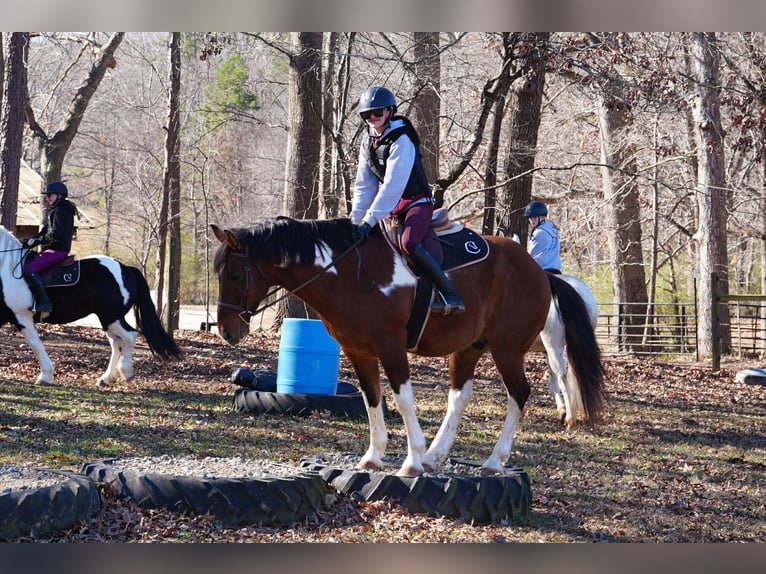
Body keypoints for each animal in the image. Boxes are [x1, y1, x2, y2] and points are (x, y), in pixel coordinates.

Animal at [0, 225, 181, 386]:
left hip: (112, 316)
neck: (6, 268)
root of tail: (127, 269)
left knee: (129, 336)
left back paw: (126, 372)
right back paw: (106, 379)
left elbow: (35, 345)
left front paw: (45, 376)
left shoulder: (22, 316)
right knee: (116, 343)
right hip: (107, 319)